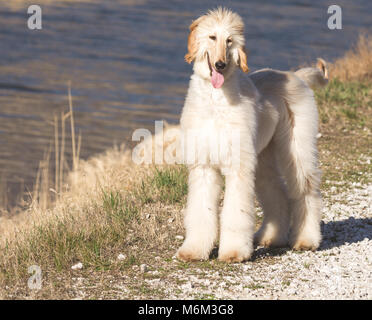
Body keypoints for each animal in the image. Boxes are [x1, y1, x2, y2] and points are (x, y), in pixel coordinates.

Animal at [176, 8, 326, 262]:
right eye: (212, 37)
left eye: (230, 40)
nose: (220, 64)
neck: (216, 101)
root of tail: (297, 76)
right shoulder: (204, 165)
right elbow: (201, 211)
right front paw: (194, 249)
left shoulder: (238, 166)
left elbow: (236, 212)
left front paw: (234, 251)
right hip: (263, 155)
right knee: (276, 192)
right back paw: (272, 237)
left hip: (297, 147)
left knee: (305, 190)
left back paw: (306, 239)